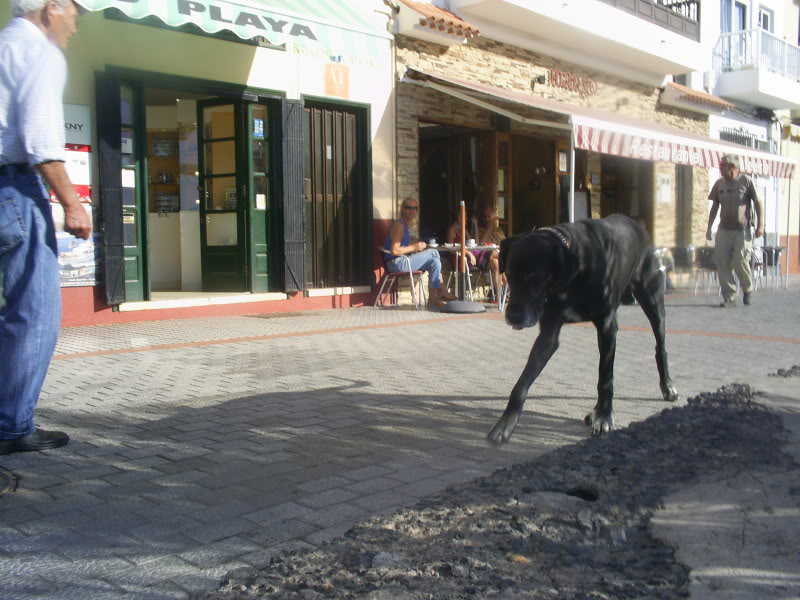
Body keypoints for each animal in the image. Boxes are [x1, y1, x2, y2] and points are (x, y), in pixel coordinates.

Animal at [488, 213, 676, 442]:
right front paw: (505, 424)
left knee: (660, 345)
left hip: (652, 300)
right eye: (509, 275)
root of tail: (636, 225)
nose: (513, 317)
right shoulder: (549, 333)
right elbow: (522, 383)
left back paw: (667, 385)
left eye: (535, 279)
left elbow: (605, 376)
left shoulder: (607, 326)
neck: (572, 272)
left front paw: (604, 416)